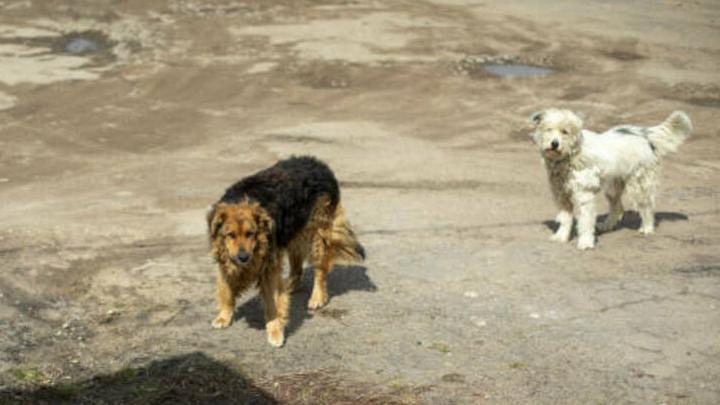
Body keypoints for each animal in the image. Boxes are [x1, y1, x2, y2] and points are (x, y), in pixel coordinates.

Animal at [207, 156, 365, 347]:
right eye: (230, 235)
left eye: (250, 233)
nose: (243, 257)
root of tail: (319, 163)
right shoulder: (226, 259)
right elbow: (226, 289)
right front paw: (224, 316)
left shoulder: (269, 267)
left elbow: (272, 304)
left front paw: (275, 331)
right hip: (292, 233)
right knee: (296, 265)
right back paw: (290, 285)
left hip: (317, 233)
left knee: (320, 270)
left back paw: (317, 297)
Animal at [529, 108, 692, 250]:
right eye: (548, 129)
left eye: (565, 131)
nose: (554, 144)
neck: (571, 155)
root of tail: (644, 134)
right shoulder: (561, 195)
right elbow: (565, 218)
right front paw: (561, 236)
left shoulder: (584, 195)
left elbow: (585, 221)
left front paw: (586, 242)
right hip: (612, 186)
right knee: (618, 207)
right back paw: (607, 226)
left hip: (638, 184)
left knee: (646, 206)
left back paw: (647, 228)